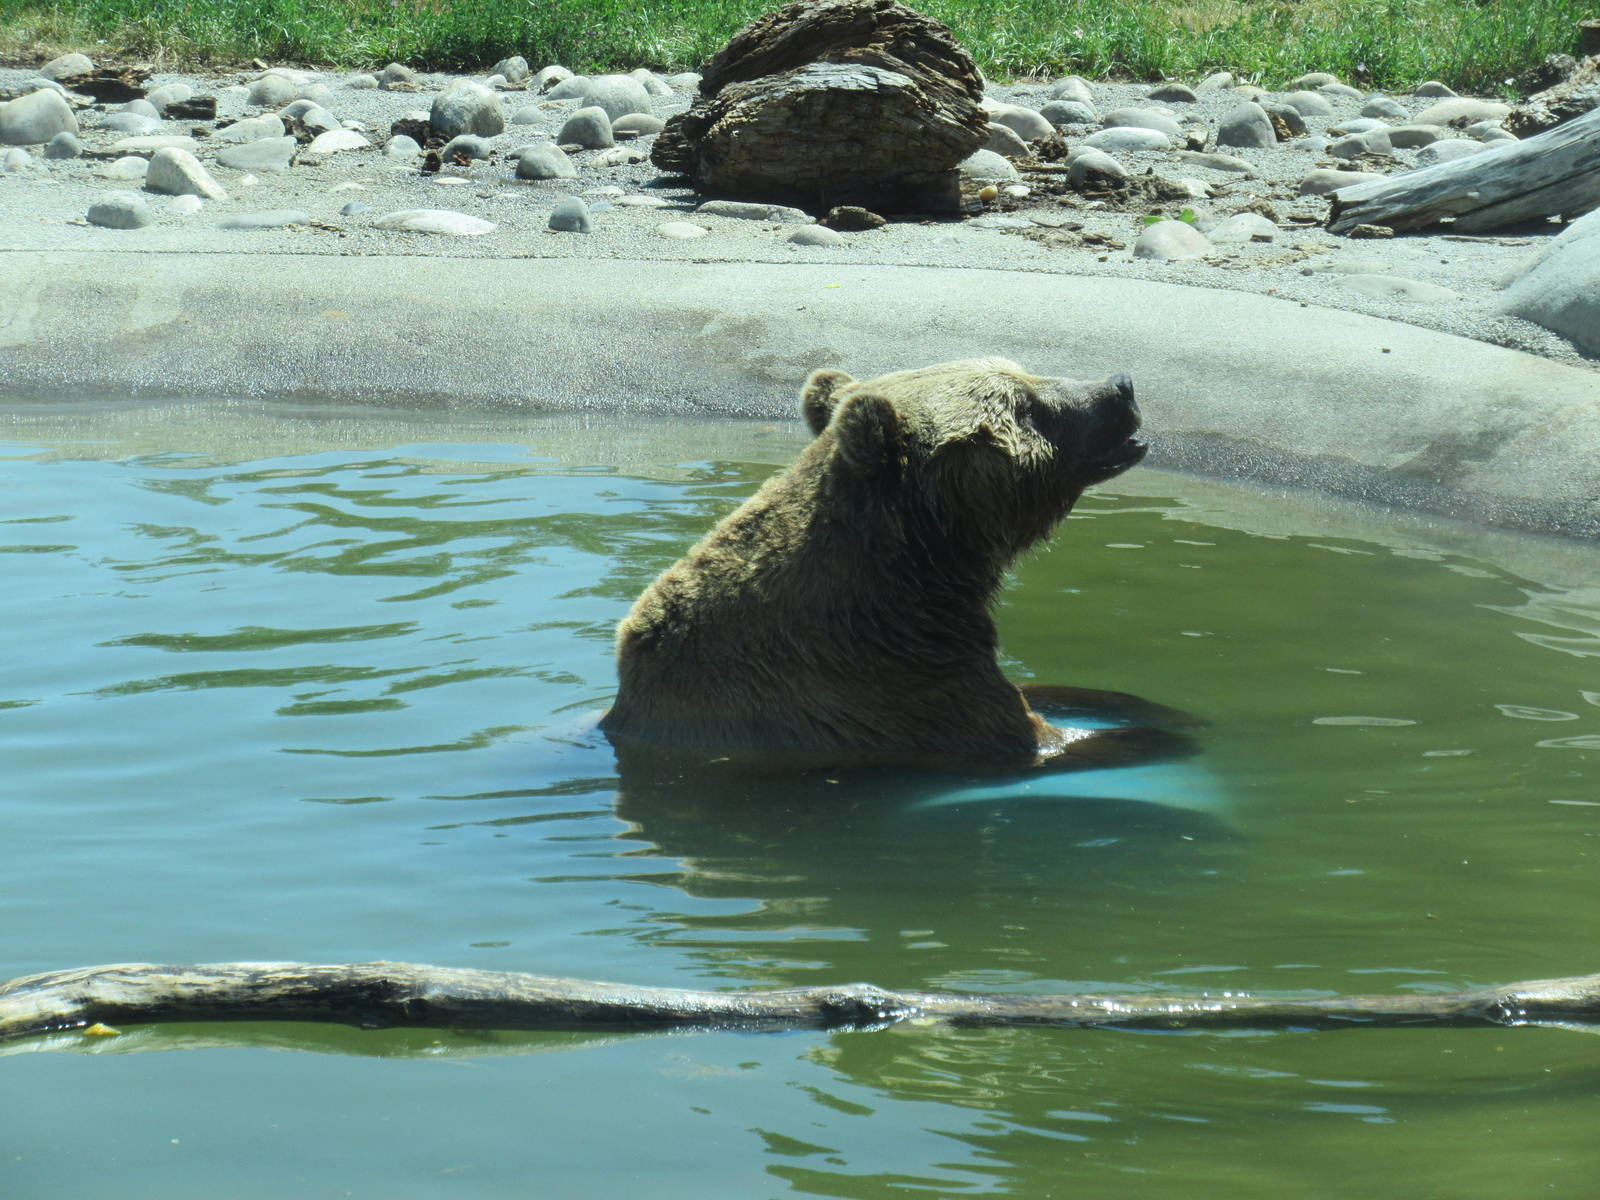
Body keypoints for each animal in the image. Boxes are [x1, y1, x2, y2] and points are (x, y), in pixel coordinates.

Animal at [599, 357, 1196, 775]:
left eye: (1024, 369)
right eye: (1021, 404)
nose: (1120, 386)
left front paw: (1139, 704)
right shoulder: (890, 687)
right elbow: (1036, 736)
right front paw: (1162, 734)